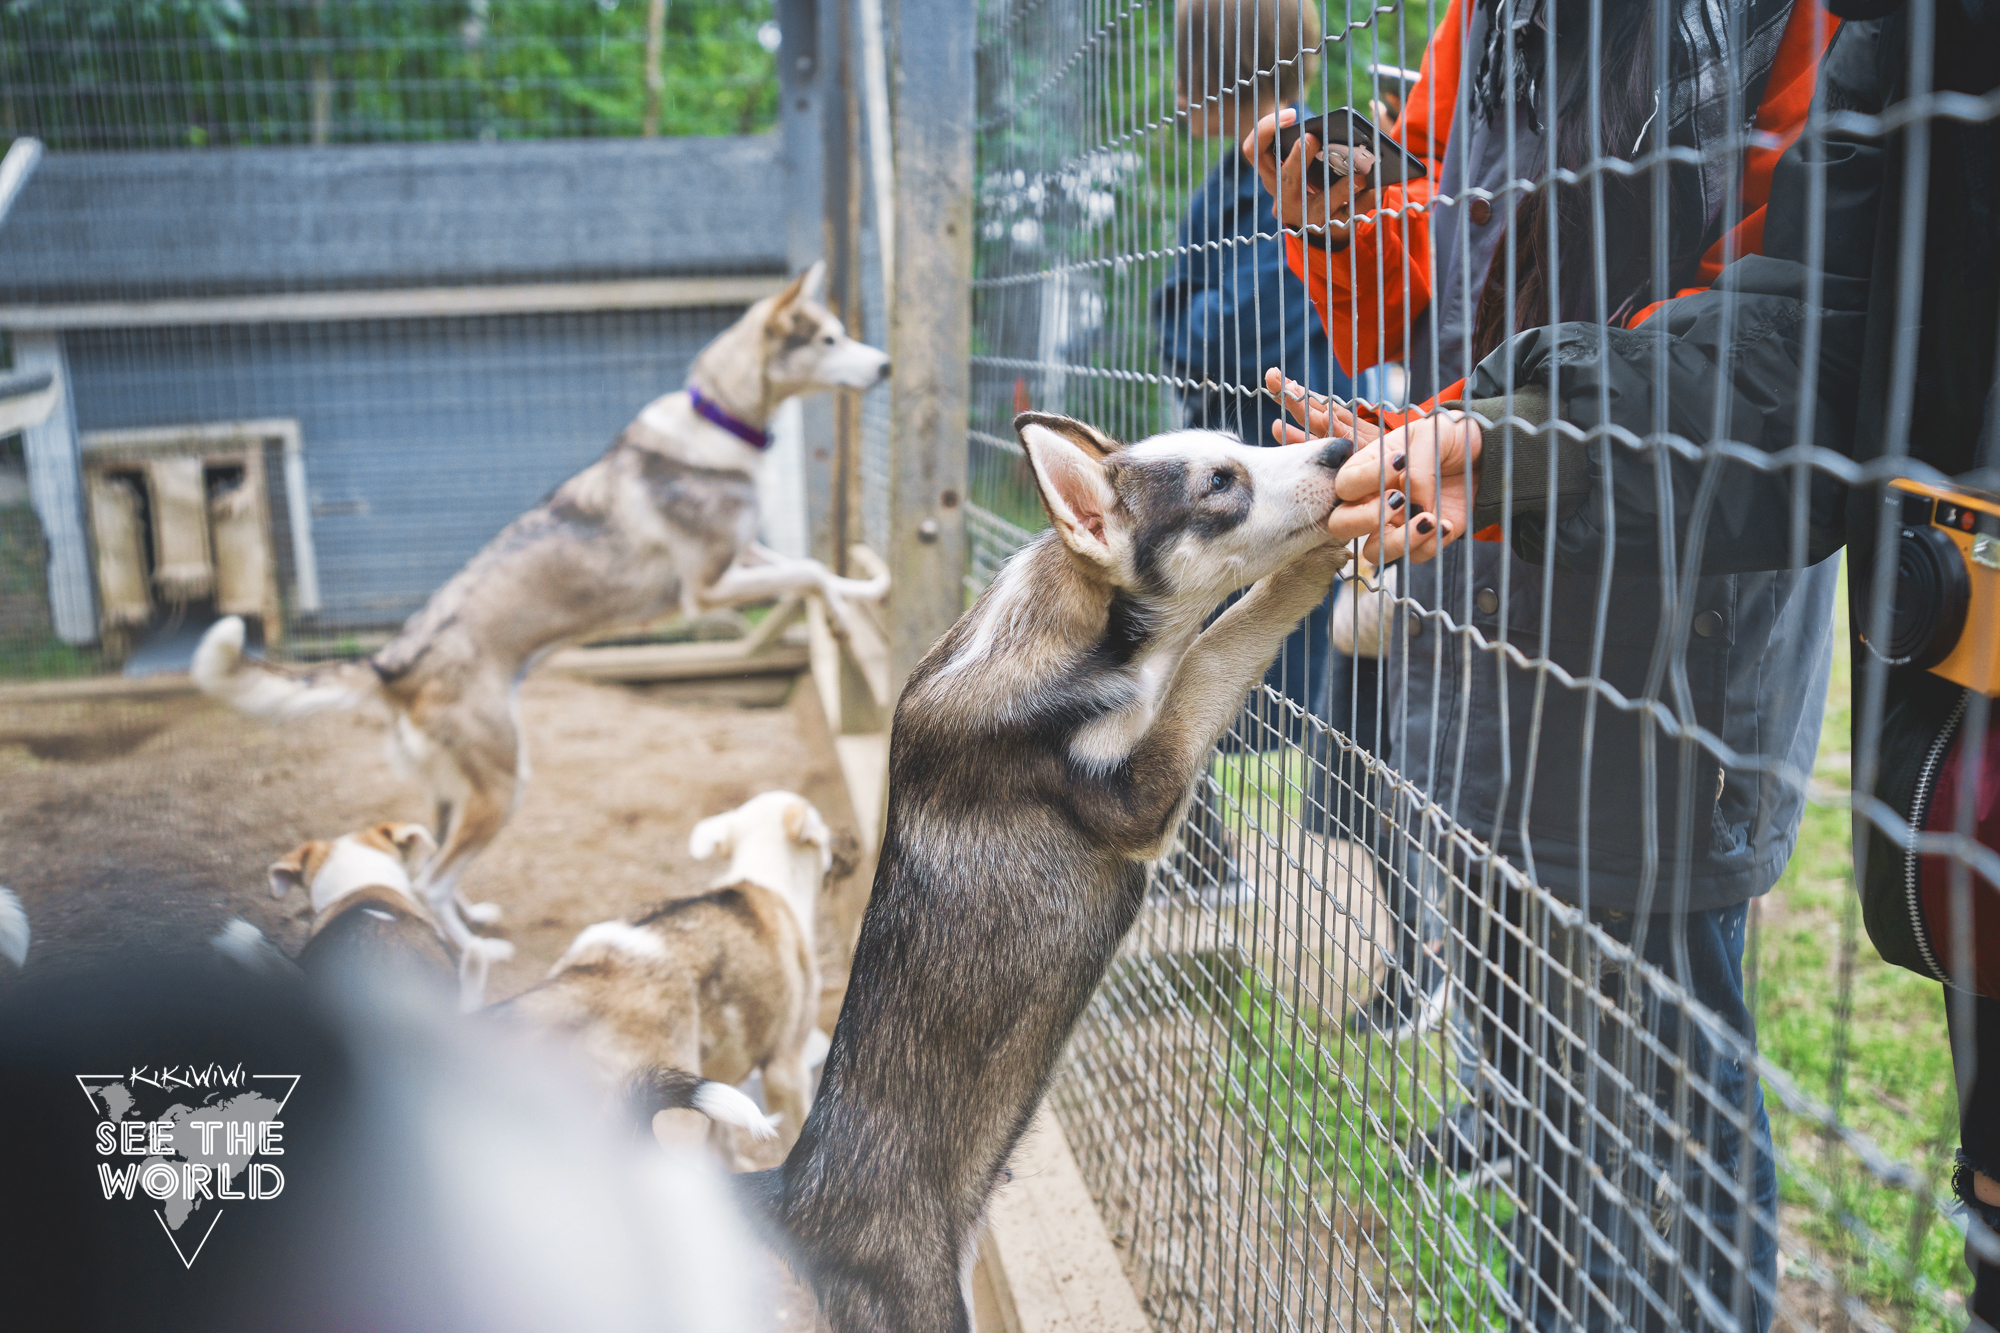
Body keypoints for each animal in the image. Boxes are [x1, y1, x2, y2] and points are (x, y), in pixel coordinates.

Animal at [188, 260, 892, 984]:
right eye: (830, 339)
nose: (887, 366)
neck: (717, 422)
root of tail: (395, 660)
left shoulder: (746, 554)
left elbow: (816, 568)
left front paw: (866, 590)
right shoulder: (708, 587)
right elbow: (807, 572)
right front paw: (846, 614)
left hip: (458, 788)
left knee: (425, 861)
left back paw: (472, 918)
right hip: (504, 781)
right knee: (432, 881)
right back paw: (475, 951)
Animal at [756, 410, 1368, 1320]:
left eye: (1241, 445)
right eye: (1219, 484)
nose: (1339, 450)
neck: (1070, 635)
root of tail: (793, 1193)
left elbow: (1202, 652)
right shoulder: (1139, 798)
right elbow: (1215, 650)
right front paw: (1315, 563)